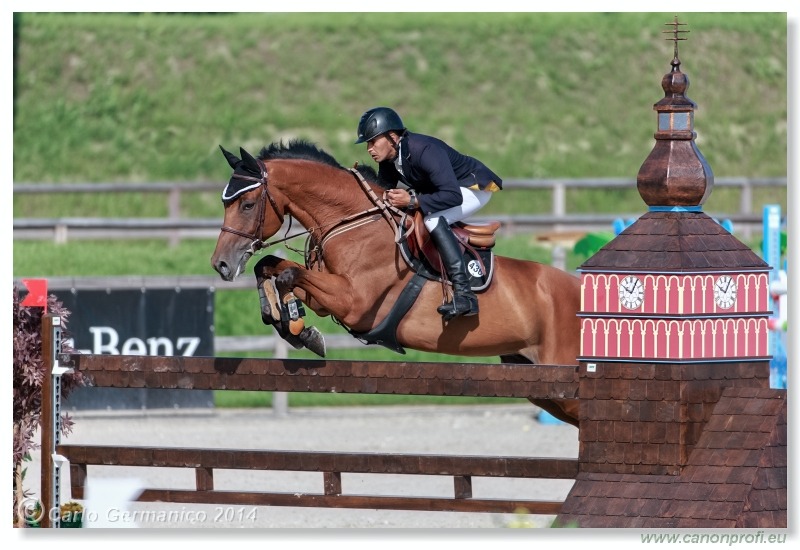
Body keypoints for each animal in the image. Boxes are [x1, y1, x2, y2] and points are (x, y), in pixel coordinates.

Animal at [209, 141, 580, 426]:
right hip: (541, 384)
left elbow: (290, 274)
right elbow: (272, 267)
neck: (349, 222)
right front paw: (291, 324)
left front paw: (296, 327)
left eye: (247, 204)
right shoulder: (329, 296)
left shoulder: (353, 303)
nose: (221, 265)